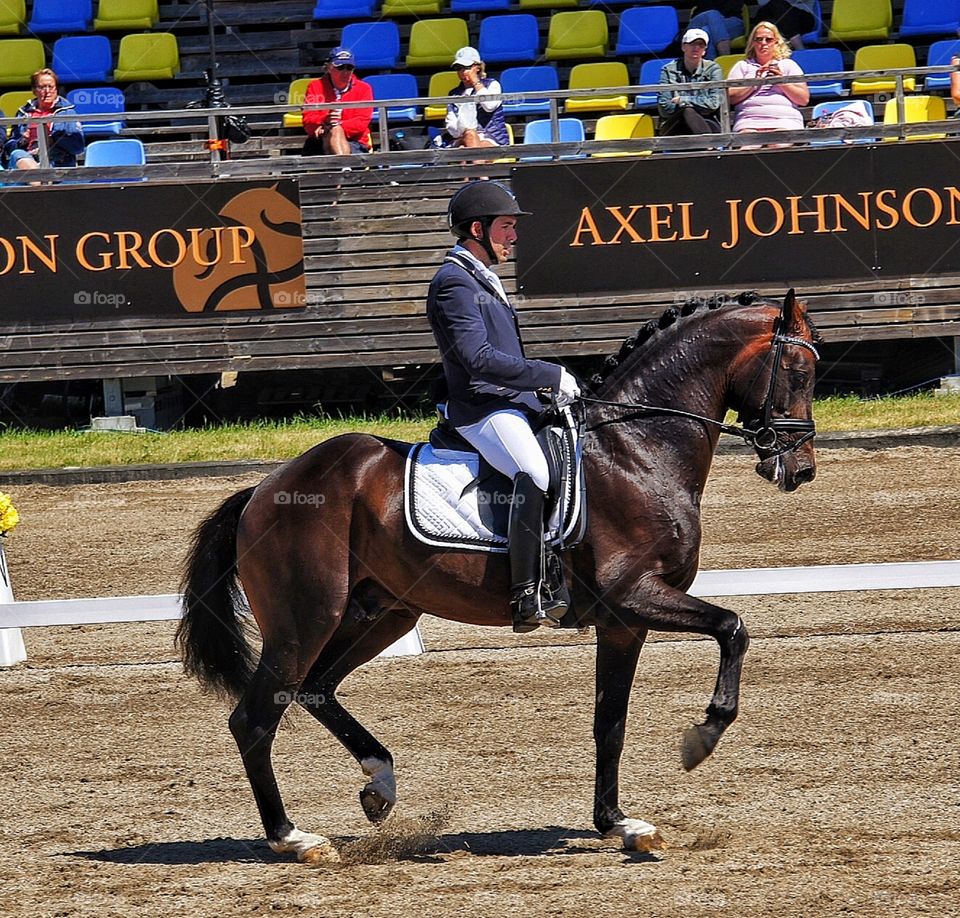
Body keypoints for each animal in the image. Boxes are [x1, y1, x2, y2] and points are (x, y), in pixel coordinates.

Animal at [174, 292, 816, 868]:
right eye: (799, 371)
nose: (801, 470)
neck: (638, 447)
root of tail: (265, 488)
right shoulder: (633, 594)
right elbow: (733, 626)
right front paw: (702, 737)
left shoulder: (623, 623)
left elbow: (609, 721)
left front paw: (619, 824)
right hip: (304, 620)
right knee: (255, 717)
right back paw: (294, 839)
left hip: (382, 614)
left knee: (314, 688)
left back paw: (379, 785)